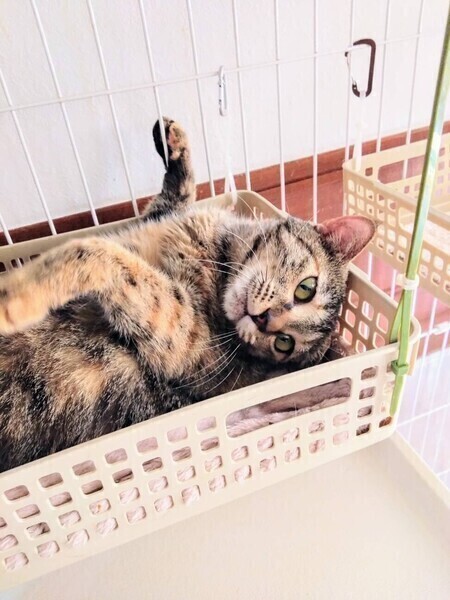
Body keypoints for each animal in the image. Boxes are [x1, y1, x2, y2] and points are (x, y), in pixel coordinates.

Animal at [0, 117, 376, 472]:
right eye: (306, 288)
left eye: (284, 344)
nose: (263, 319)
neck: (219, 248)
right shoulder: (153, 220)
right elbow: (174, 196)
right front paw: (173, 141)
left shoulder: (178, 329)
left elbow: (96, 252)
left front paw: (17, 297)